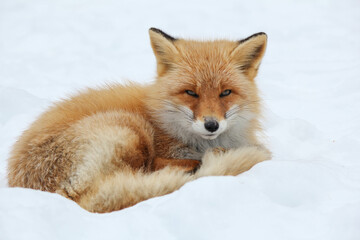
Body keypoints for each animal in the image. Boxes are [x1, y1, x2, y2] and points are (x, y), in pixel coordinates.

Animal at [6, 28, 270, 214]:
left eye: (225, 93)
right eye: (190, 93)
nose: (211, 125)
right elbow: (162, 161)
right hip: (131, 127)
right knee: (148, 168)